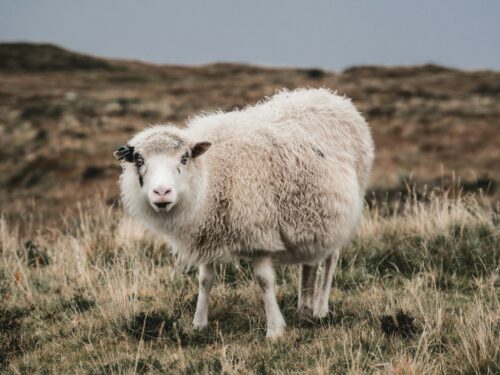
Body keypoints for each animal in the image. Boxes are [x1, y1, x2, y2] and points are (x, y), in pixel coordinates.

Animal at [115, 89, 374, 340]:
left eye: (184, 158)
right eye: (139, 160)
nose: (161, 192)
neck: (213, 175)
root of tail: (332, 97)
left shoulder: (259, 231)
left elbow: (264, 281)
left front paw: (274, 330)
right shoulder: (207, 232)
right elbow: (205, 280)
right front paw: (199, 324)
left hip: (341, 212)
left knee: (331, 259)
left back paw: (320, 309)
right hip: (312, 216)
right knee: (310, 262)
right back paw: (304, 308)